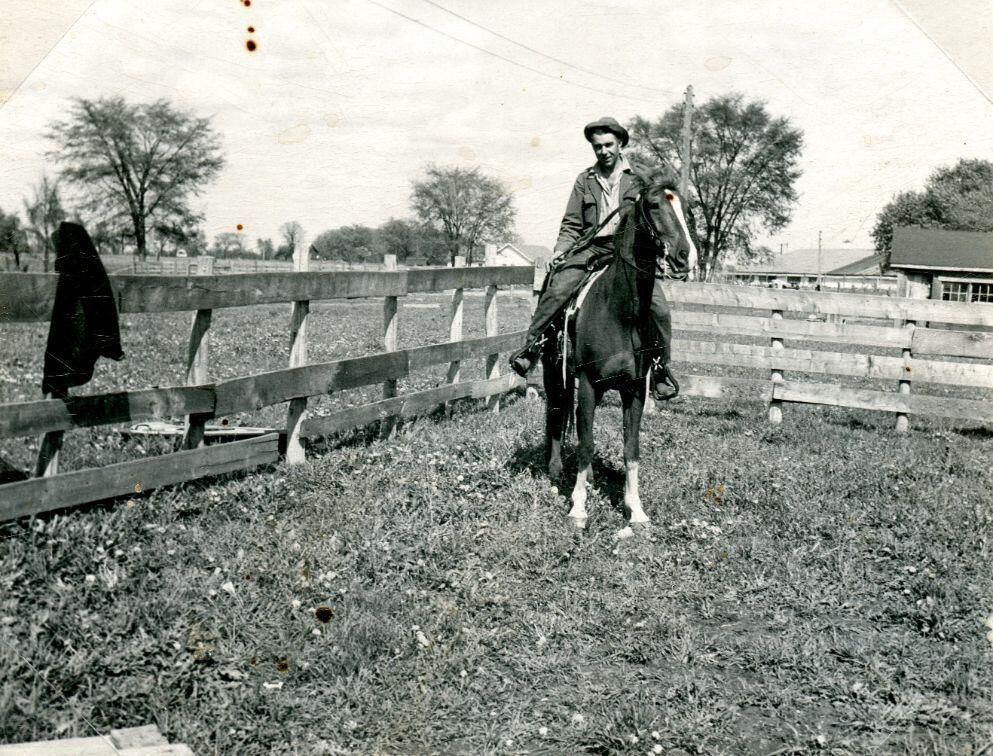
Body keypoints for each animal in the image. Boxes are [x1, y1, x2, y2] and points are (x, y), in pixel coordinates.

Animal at [540, 169, 698, 530]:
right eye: (653, 204)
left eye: (685, 207)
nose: (685, 255)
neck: (620, 313)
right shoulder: (586, 385)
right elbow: (585, 445)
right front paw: (578, 508)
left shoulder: (634, 390)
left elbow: (631, 449)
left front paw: (635, 510)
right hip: (553, 373)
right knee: (555, 413)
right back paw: (556, 470)